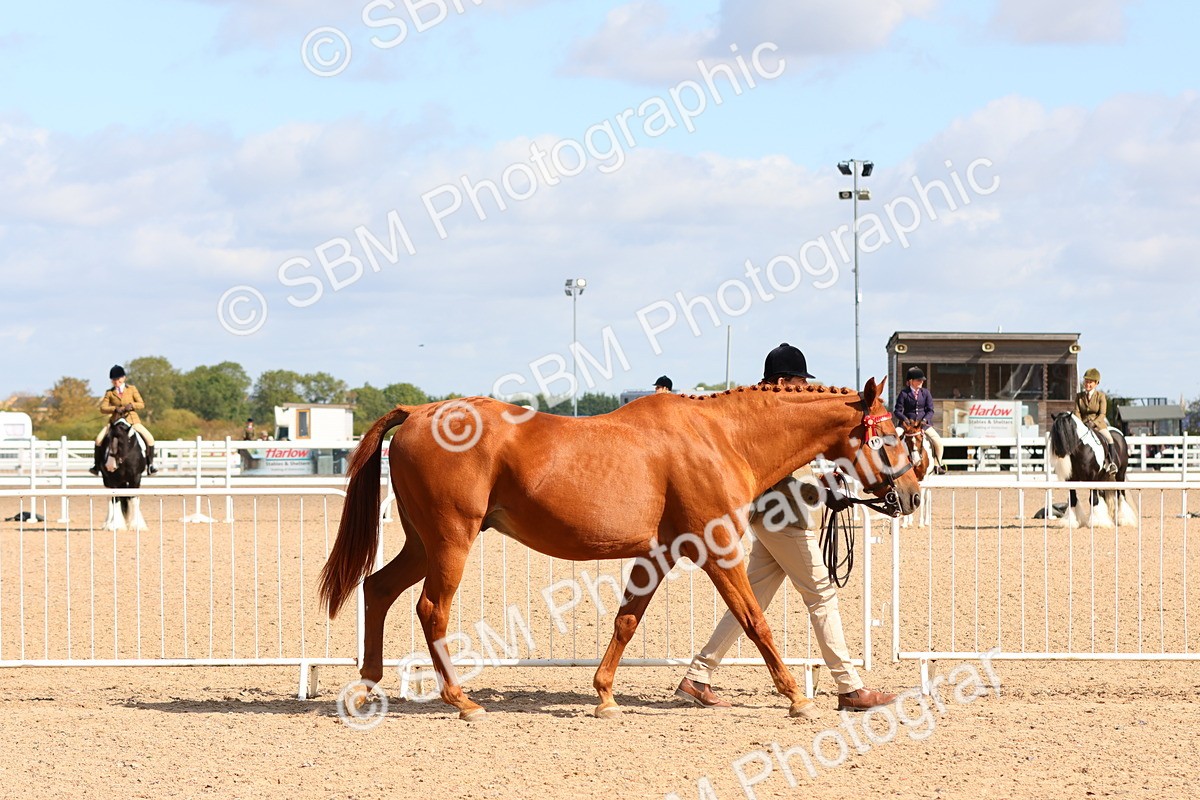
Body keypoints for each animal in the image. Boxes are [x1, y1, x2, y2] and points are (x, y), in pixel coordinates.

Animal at [319, 377, 921, 720]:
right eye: (891, 435)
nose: (913, 494)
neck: (720, 437)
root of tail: (419, 412)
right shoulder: (717, 550)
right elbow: (754, 620)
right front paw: (797, 697)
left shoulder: (658, 554)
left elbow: (627, 620)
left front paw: (605, 696)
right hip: (451, 540)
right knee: (430, 608)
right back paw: (461, 700)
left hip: (423, 542)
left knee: (378, 588)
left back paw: (368, 686)